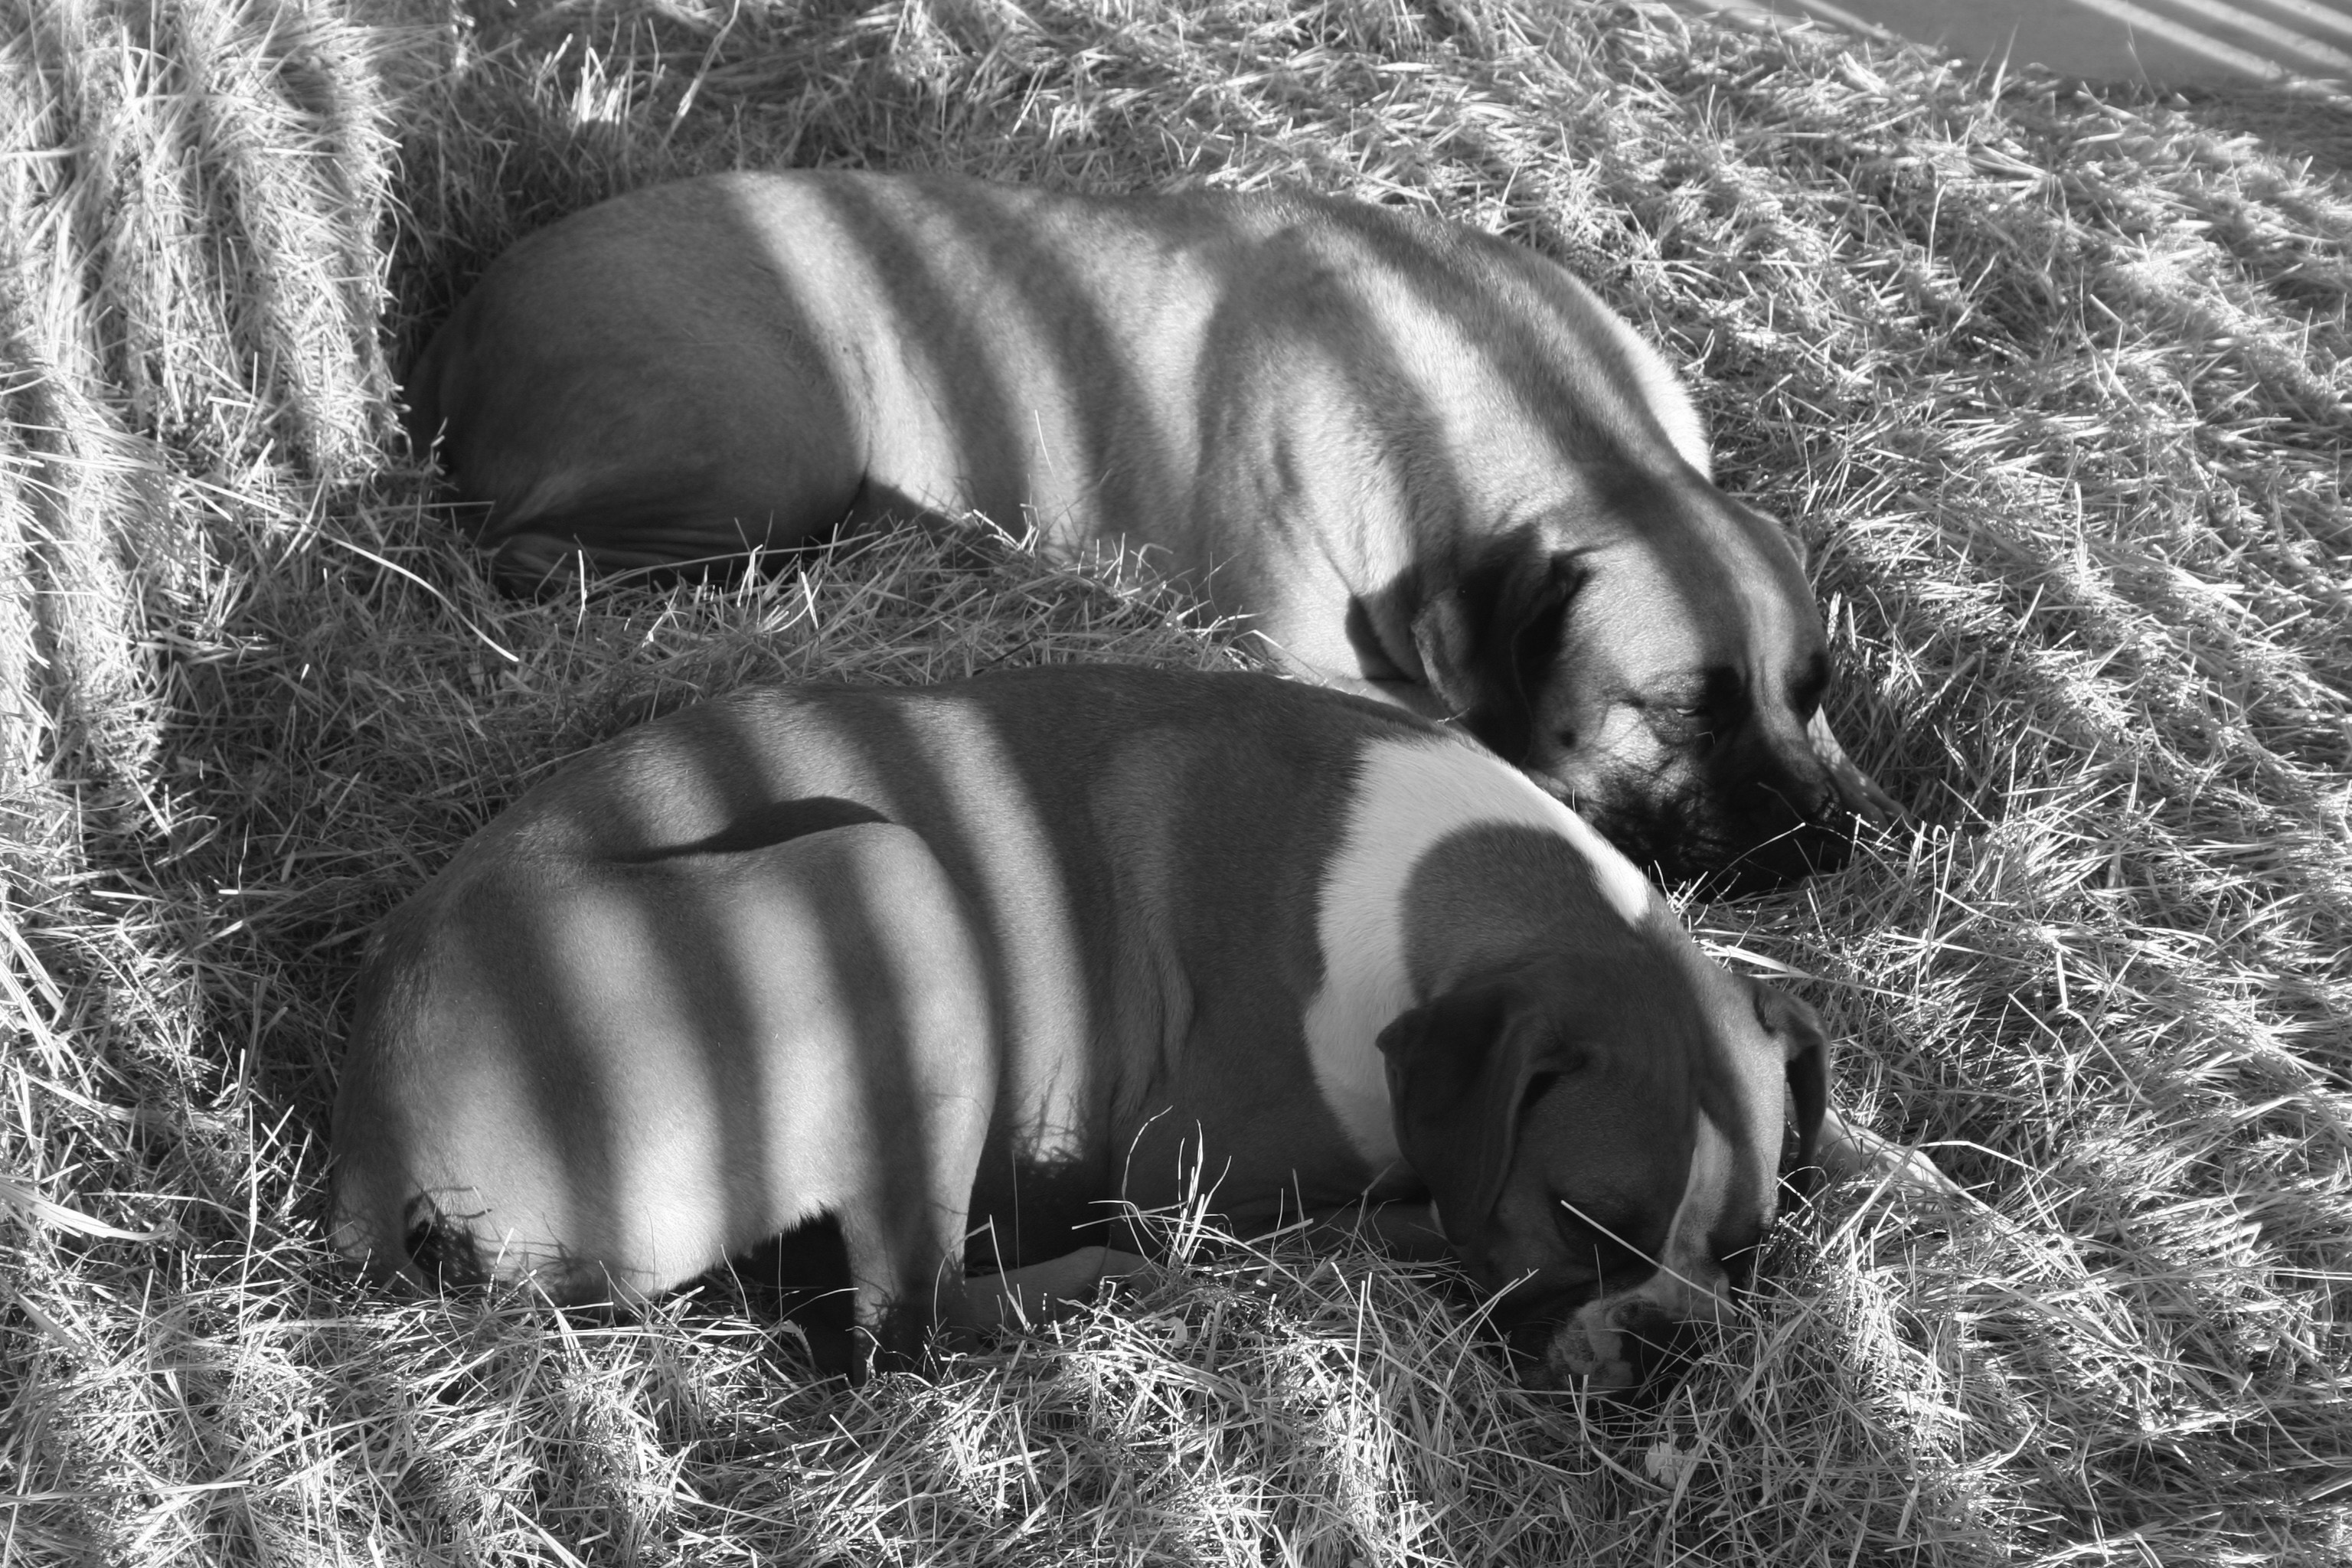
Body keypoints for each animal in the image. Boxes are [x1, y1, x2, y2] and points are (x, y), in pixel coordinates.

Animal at [332, 662, 1938, 1382]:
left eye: (1749, 1249)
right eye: (1585, 1223)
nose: (1678, 1337)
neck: (1446, 882)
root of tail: (376, 1123)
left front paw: (1914, 1167)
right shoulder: (1198, 1162)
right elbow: (1398, 1211)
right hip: (889, 880)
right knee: (910, 1325)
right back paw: (1139, 1285)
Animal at [409, 172, 1909, 888]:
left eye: (1813, 689)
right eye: (1681, 709)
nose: (1829, 839)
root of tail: (461, 326)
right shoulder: (1316, 663)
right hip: (773, 450)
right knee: (539, 554)